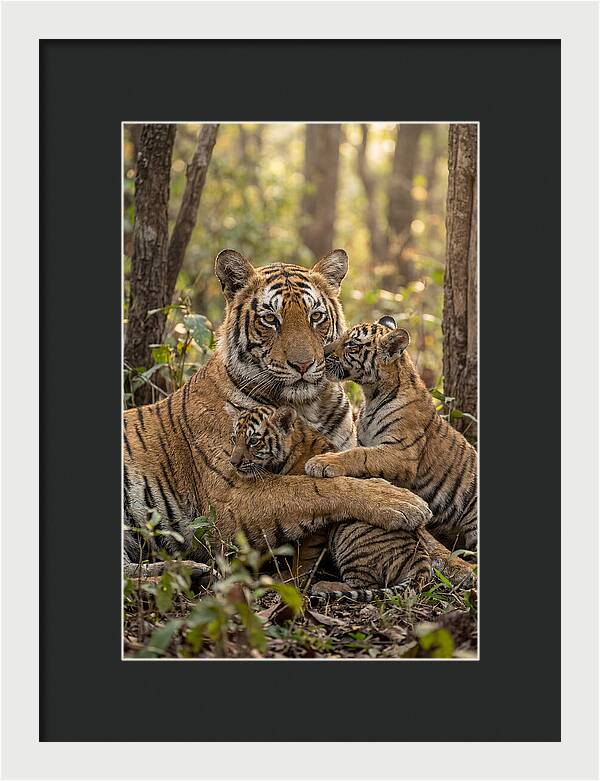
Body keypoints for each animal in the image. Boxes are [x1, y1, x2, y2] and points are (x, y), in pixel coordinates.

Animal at [123, 250, 432, 566]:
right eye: (271, 319)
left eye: (316, 317)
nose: (303, 365)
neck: (307, 406)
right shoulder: (231, 497)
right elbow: (311, 488)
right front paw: (401, 501)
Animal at [226, 401, 476, 592]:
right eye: (233, 439)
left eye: (253, 441)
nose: (233, 462)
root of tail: (420, 561)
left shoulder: (317, 524)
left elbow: (305, 554)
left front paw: (290, 579)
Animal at [305, 317, 478, 555]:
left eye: (352, 345)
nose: (322, 352)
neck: (372, 395)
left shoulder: (402, 453)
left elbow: (360, 455)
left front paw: (322, 462)